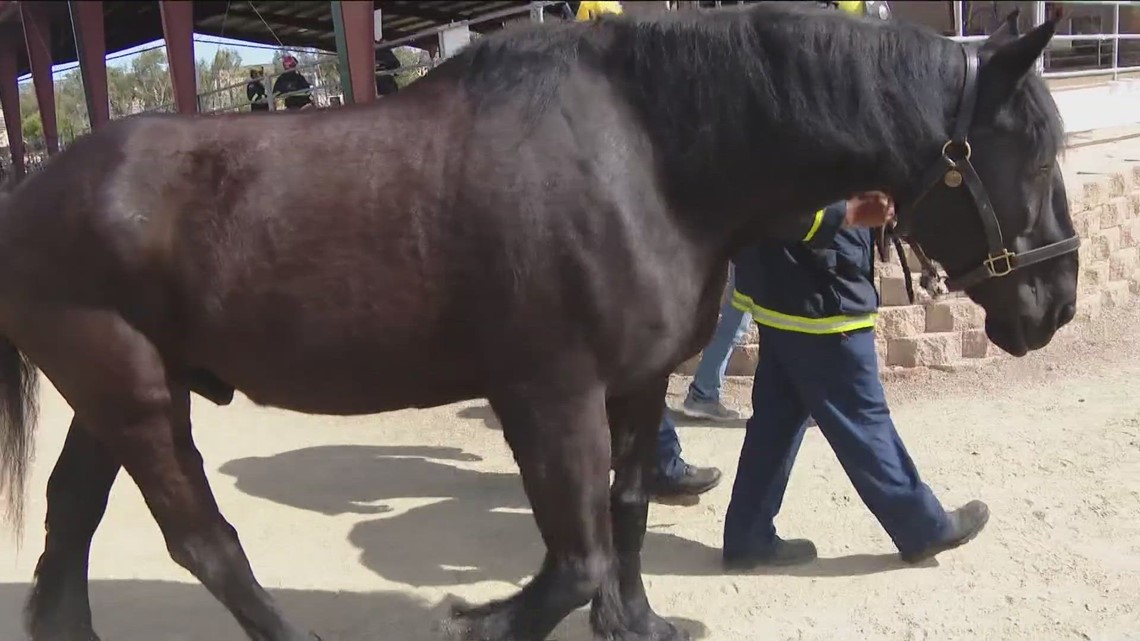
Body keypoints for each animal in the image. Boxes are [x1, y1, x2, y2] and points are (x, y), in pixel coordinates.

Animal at [0, 3, 1077, 641]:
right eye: (1027, 147)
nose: (1056, 303)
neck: (647, 157)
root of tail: (33, 193)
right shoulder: (547, 394)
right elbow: (574, 553)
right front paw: (485, 616)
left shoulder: (635, 385)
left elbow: (625, 516)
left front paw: (638, 623)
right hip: (136, 395)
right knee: (203, 540)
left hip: (118, 395)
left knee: (71, 517)